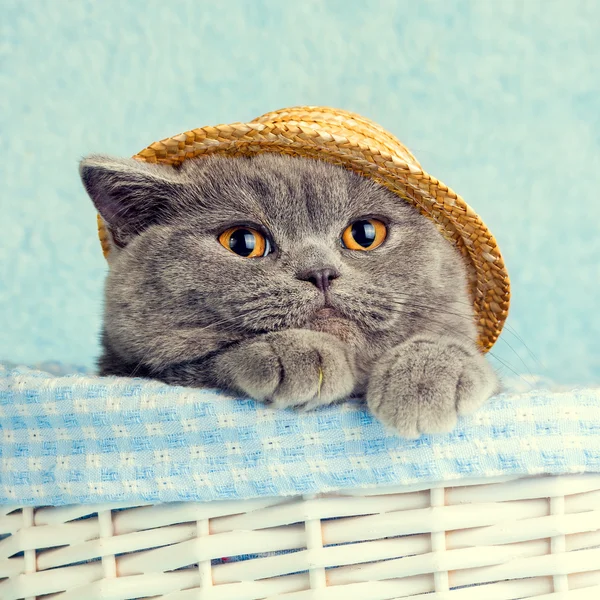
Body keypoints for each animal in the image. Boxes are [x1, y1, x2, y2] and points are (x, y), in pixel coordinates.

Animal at [82, 154, 500, 436]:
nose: (320, 272)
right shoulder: (130, 369)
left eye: (365, 234)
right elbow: (203, 361)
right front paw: (299, 355)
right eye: (242, 242)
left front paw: (426, 378)